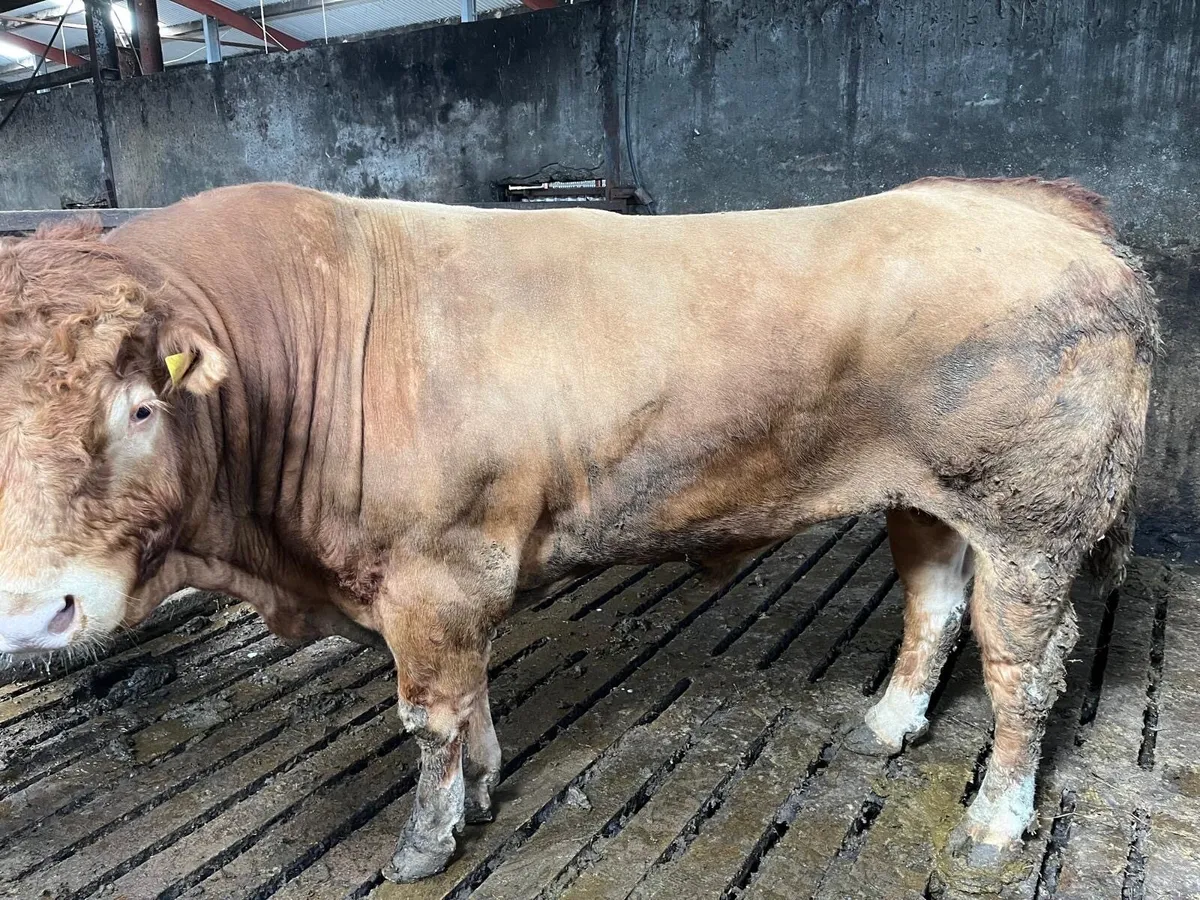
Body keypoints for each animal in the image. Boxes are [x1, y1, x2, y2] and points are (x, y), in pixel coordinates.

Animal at [0, 177, 1156, 887]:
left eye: (139, 409)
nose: (34, 612)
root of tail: (1034, 204)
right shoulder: (455, 586)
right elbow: (471, 705)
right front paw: (483, 786)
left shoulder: (434, 574)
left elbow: (429, 720)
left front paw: (425, 844)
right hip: (932, 501)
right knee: (934, 603)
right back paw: (889, 721)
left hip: (1032, 521)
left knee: (1022, 669)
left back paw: (997, 818)